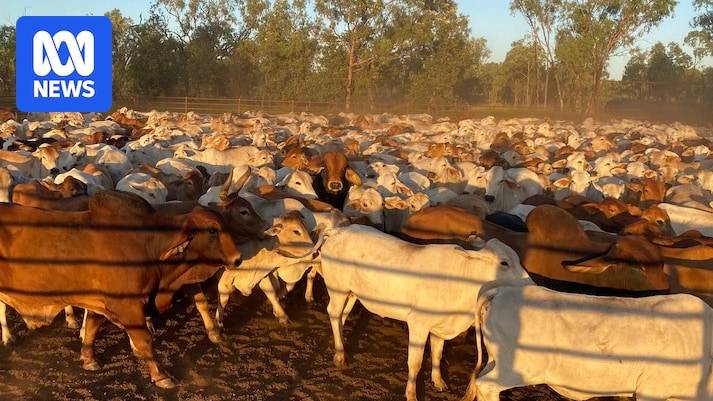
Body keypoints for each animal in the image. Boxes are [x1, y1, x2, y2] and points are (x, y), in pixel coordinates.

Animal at [0, 191, 242, 388]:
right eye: (212, 230)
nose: (238, 259)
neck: (149, 244)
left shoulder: (100, 301)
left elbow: (92, 328)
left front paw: (88, 359)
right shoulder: (128, 305)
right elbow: (144, 340)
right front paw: (161, 376)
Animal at [319, 224, 530, 401]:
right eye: (504, 263)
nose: (530, 284)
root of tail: (338, 230)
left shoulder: (439, 327)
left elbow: (437, 354)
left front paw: (439, 381)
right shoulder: (418, 323)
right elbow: (415, 362)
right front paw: (412, 394)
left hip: (351, 293)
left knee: (342, 316)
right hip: (337, 289)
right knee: (334, 313)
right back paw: (339, 355)